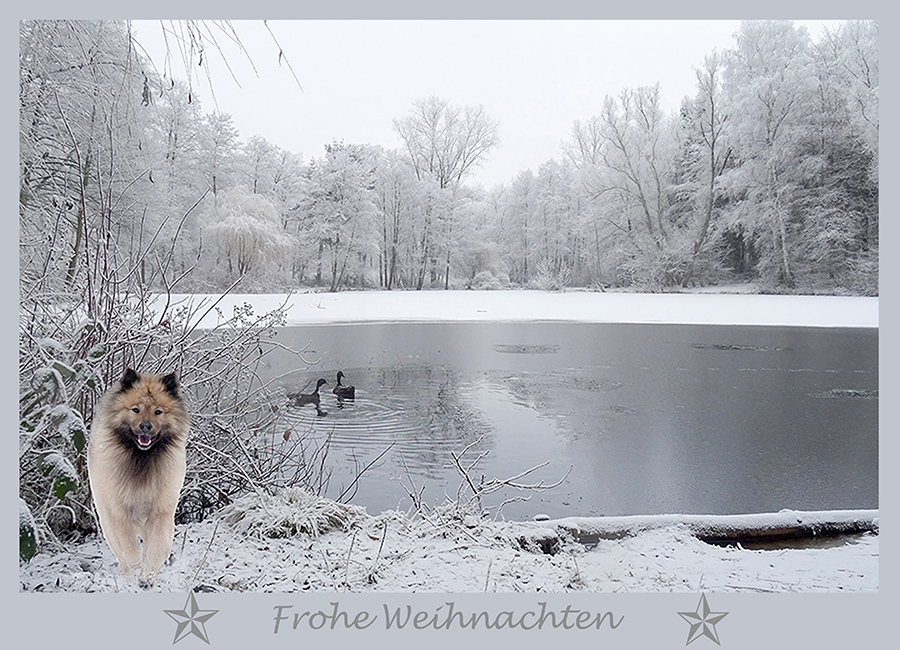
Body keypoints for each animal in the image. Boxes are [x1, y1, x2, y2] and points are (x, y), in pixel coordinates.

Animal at [86, 364, 190, 588]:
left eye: (158, 412)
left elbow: (158, 546)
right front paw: (137, 561)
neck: (141, 458)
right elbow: (129, 548)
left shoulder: (161, 511)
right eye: (136, 410)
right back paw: (127, 577)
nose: (145, 426)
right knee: (122, 555)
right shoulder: (118, 512)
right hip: (107, 519)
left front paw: (147, 576)